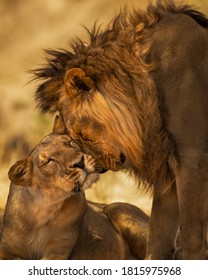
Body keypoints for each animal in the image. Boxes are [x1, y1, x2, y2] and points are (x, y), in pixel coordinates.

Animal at [0, 130, 148, 260]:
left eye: (69, 142)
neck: (44, 209)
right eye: (48, 161)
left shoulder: (59, 250)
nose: (80, 162)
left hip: (117, 208)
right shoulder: (6, 249)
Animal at [33, 0, 208, 260]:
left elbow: (190, 233)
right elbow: (158, 234)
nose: (97, 168)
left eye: (82, 135)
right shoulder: (167, 164)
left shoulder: (191, 156)